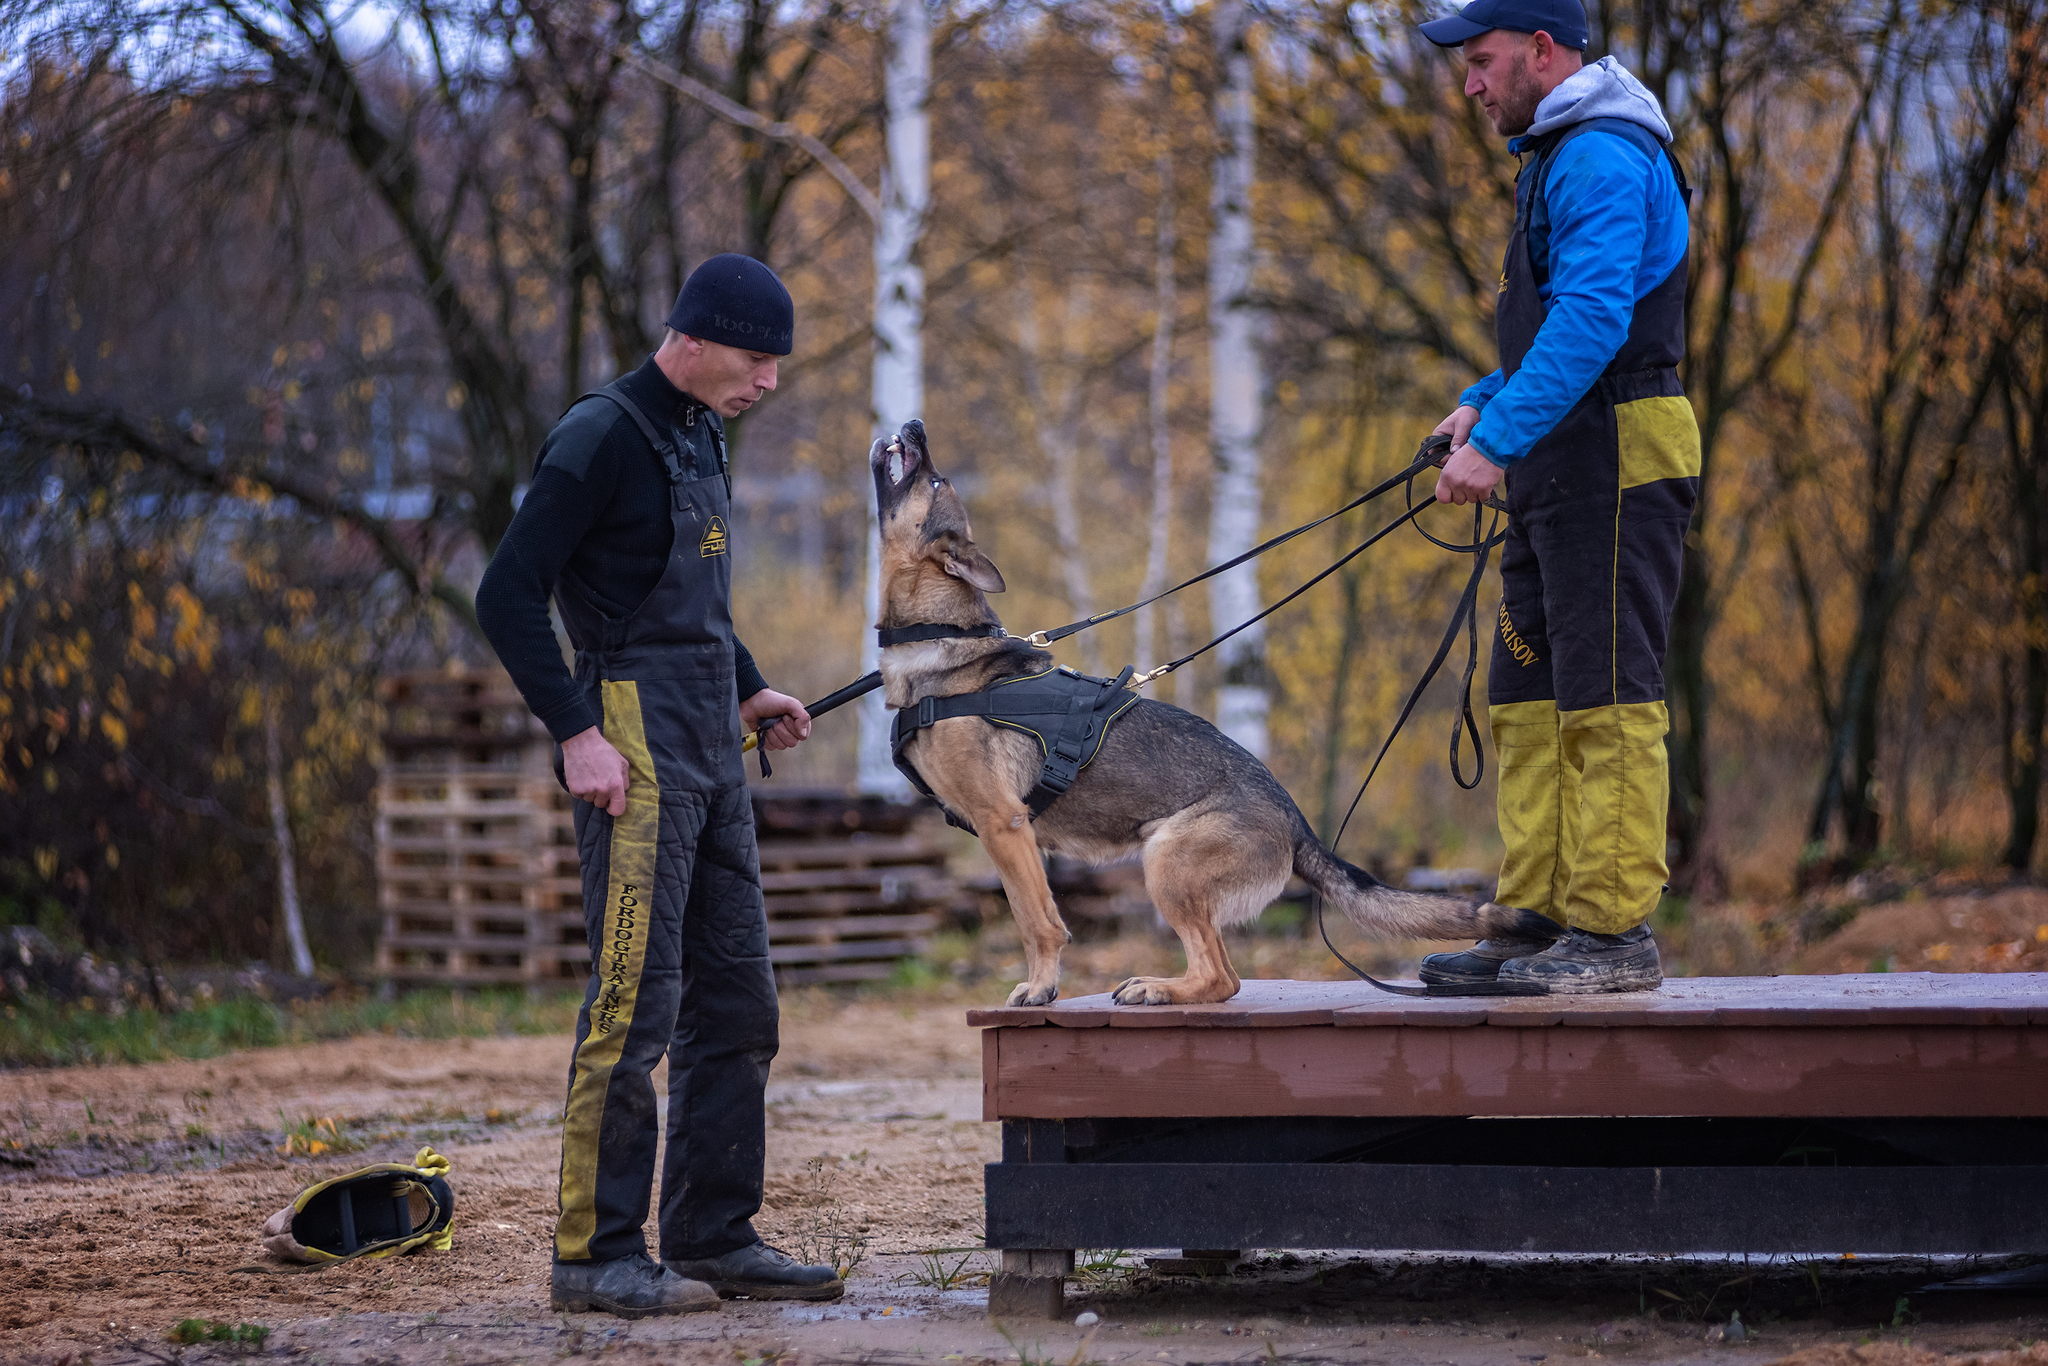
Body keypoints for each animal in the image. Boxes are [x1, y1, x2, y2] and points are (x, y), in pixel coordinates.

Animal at [868, 421, 1548, 1011]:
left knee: (1221, 977)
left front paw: (1040, 988)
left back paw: (1157, 987)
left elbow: (1038, 921)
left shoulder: (1005, 825)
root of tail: (1297, 825)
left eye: (935, 481)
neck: (942, 640)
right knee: (1225, 975)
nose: (916, 425)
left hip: (1166, 860)